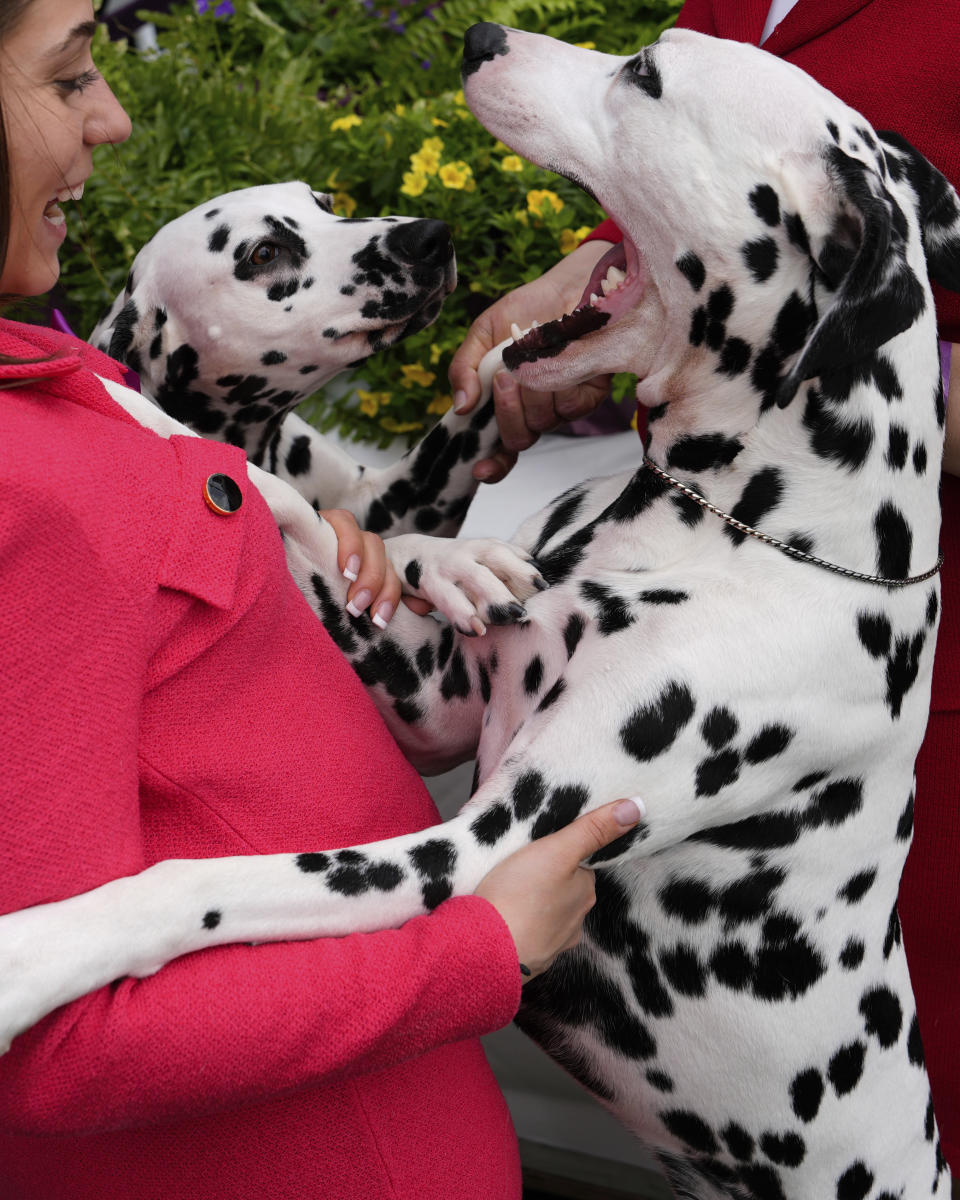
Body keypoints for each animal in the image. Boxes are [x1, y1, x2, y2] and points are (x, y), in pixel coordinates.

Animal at [1, 28, 960, 1200]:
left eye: (645, 76)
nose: (482, 37)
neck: (745, 527)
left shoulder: (477, 849)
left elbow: (197, 886)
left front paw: (31, 958)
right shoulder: (431, 699)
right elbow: (286, 504)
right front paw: (125, 404)